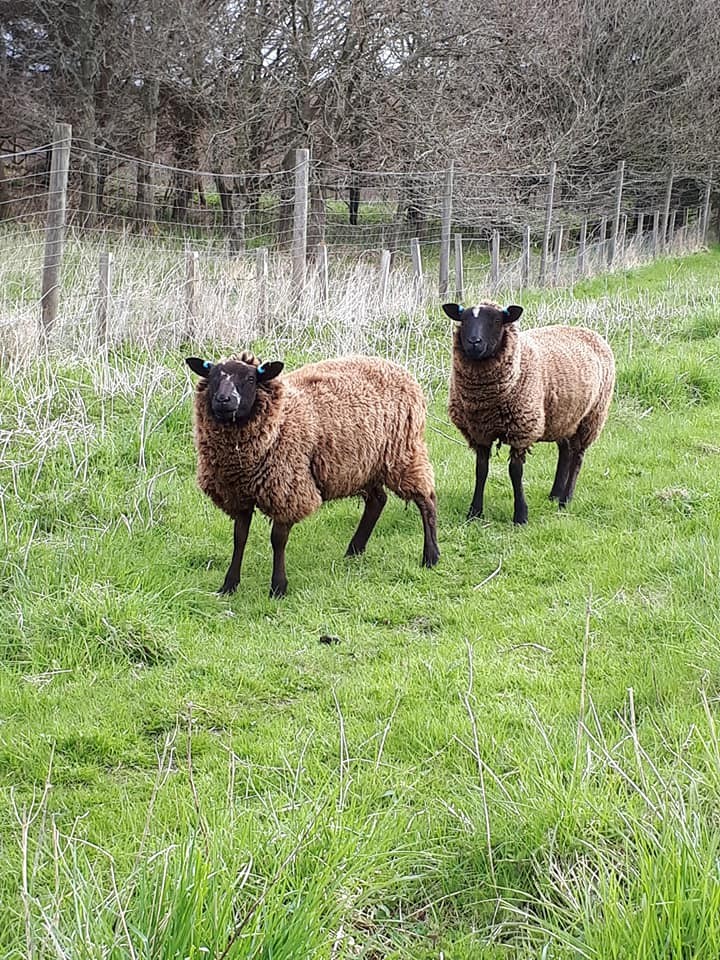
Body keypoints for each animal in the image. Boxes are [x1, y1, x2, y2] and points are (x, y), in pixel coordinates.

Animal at [185, 351, 439, 597]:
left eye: (250, 379)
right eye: (213, 377)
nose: (223, 400)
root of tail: (397, 367)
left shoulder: (287, 490)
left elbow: (277, 540)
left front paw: (278, 587)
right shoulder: (238, 495)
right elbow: (239, 538)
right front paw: (229, 585)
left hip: (403, 451)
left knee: (426, 499)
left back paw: (431, 556)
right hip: (363, 464)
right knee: (378, 501)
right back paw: (354, 550)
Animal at [442, 301, 615, 524]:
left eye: (496, 321)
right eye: (463, 320)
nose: (474, 342)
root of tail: (590, 332)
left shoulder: (521, 430)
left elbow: (515, 472)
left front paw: (521, 516)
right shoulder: (479, 431)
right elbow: (481, 470)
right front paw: (474, 513)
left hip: (591, 417)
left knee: (577, 456)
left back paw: (565, 500)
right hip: (563, 417)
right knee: (565, 451)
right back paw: (555, 494)